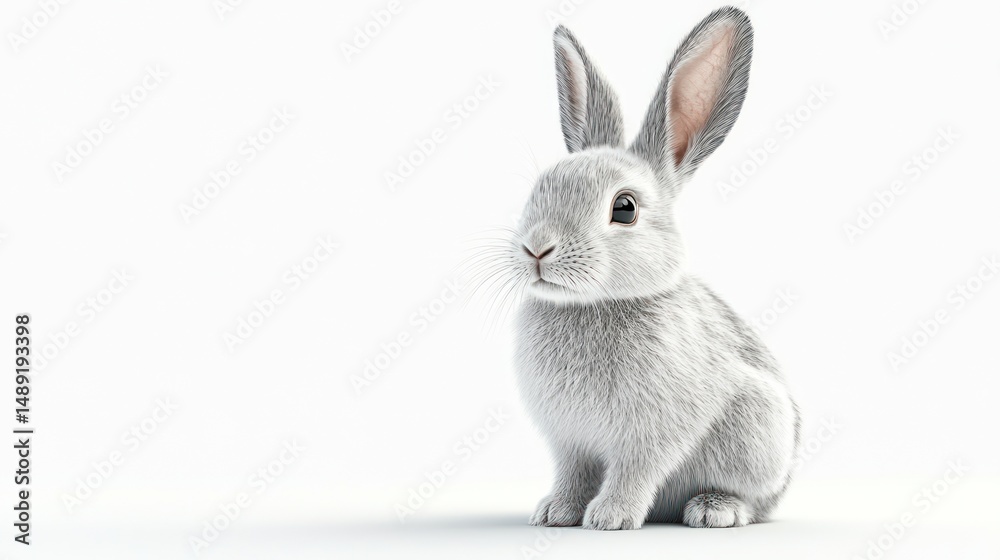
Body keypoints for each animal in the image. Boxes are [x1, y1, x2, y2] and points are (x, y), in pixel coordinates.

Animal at [508, 7, 801, 530]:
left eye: (624, 209)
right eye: (541, 188)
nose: (537, 248)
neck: (596, 304)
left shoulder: (654, 434)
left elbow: (635, 470)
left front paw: (610, 518)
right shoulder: (570, 442)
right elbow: (573, 475)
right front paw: (556, 512)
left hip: (761, 431)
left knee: (754, 501)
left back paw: (714, 510)